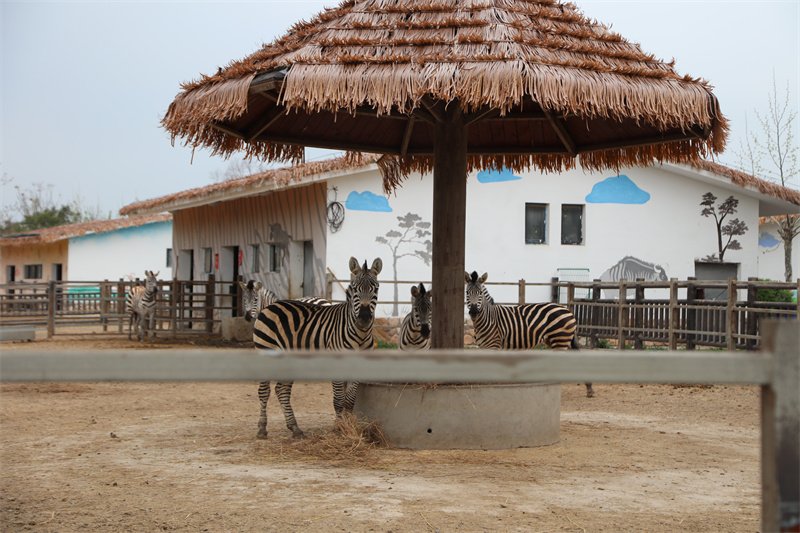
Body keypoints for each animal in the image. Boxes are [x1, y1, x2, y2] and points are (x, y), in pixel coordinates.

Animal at [253, 256, 384, 436]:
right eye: (354, 289)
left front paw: (350, 427)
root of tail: (271, 305)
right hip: (266, 350)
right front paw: (339, 428)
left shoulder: (360, 366)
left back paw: (295, 428)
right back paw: (261, 428)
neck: (360, 335)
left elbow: (350, 400)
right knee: (264, 391)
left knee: (282, 390)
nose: (364, 319)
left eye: (375, 289)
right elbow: (339, 399)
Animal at [462, 272, 592, 396]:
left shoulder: (493, 346)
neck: (488, 318)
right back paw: (589, 388)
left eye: (480, 293)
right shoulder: (484, 347)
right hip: (560, 340)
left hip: (560, 340)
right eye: (467, 292)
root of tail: (567, 309)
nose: (473, 311)